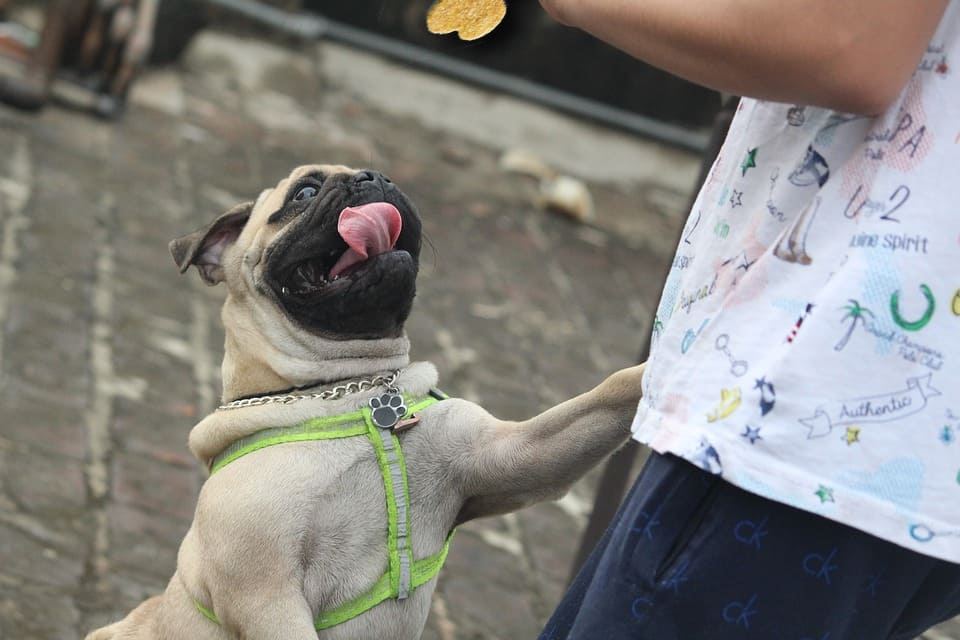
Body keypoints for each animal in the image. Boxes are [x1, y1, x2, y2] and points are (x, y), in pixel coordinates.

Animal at [88, 165, 644, 640]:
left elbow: (612, 390)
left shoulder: (515, 457)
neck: (351, 391)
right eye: (305, 192)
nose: (374, 177)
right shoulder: (267, 597)